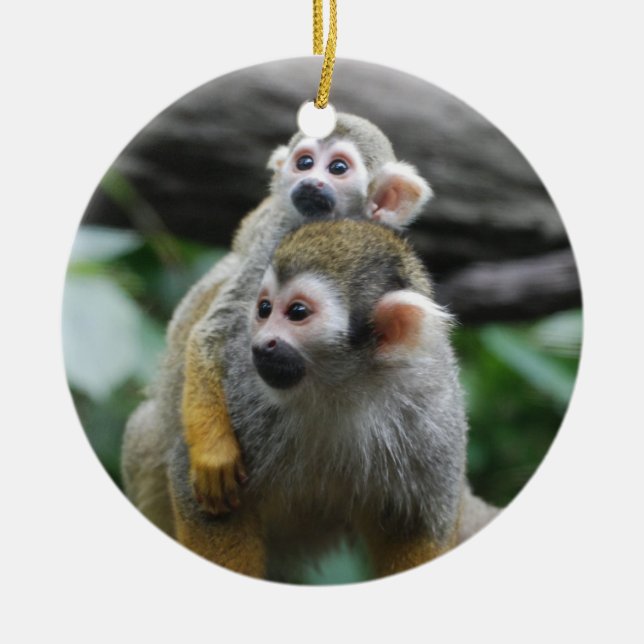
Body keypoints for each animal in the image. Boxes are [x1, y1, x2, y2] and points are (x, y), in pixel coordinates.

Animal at [122, 113, 434, 527]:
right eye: (305, 162)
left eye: (337, 168)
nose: (310, 181)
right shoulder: (273, 243)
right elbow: (214, 330)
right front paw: (213, 454)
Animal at [168, 218, 478, 580]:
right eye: (264, 309)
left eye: (297, 312)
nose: (260, 344)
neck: (342, 388)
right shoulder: (243, 389)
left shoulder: (433, 416)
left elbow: (420, 525)